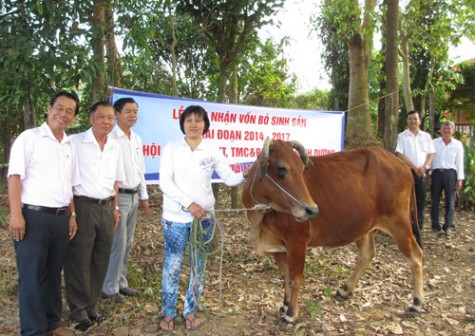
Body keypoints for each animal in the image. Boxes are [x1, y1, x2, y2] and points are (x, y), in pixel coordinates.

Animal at [244, 140, 426, 326]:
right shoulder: (278, 247)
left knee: (416, 255)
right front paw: (285, 305)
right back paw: (345, 290)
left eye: (302, 169)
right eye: (281, 169)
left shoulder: (297, 241)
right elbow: (285, 277)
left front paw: (291, 314)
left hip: (399, 223)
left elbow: (295, 278)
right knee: (367, 254)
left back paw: (417, 303)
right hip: (365, 226)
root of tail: (402, 164)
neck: (262, 213)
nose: (311, 210)